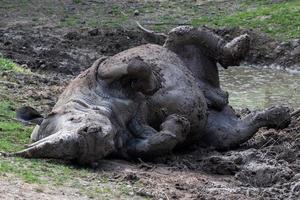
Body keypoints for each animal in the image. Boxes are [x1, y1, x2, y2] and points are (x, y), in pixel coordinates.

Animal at [10, 25, 290, 165]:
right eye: (102, 151)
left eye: (75, 121)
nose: (92, 138)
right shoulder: (128, 146)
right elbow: (156, 142)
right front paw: (176, 125)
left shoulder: (98, 71)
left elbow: (135, 65)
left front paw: (153, 85)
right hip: (214, 127)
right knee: (226, 133)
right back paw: (279, 115)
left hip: (172, 53)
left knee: (178, 38)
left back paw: (240, 47)